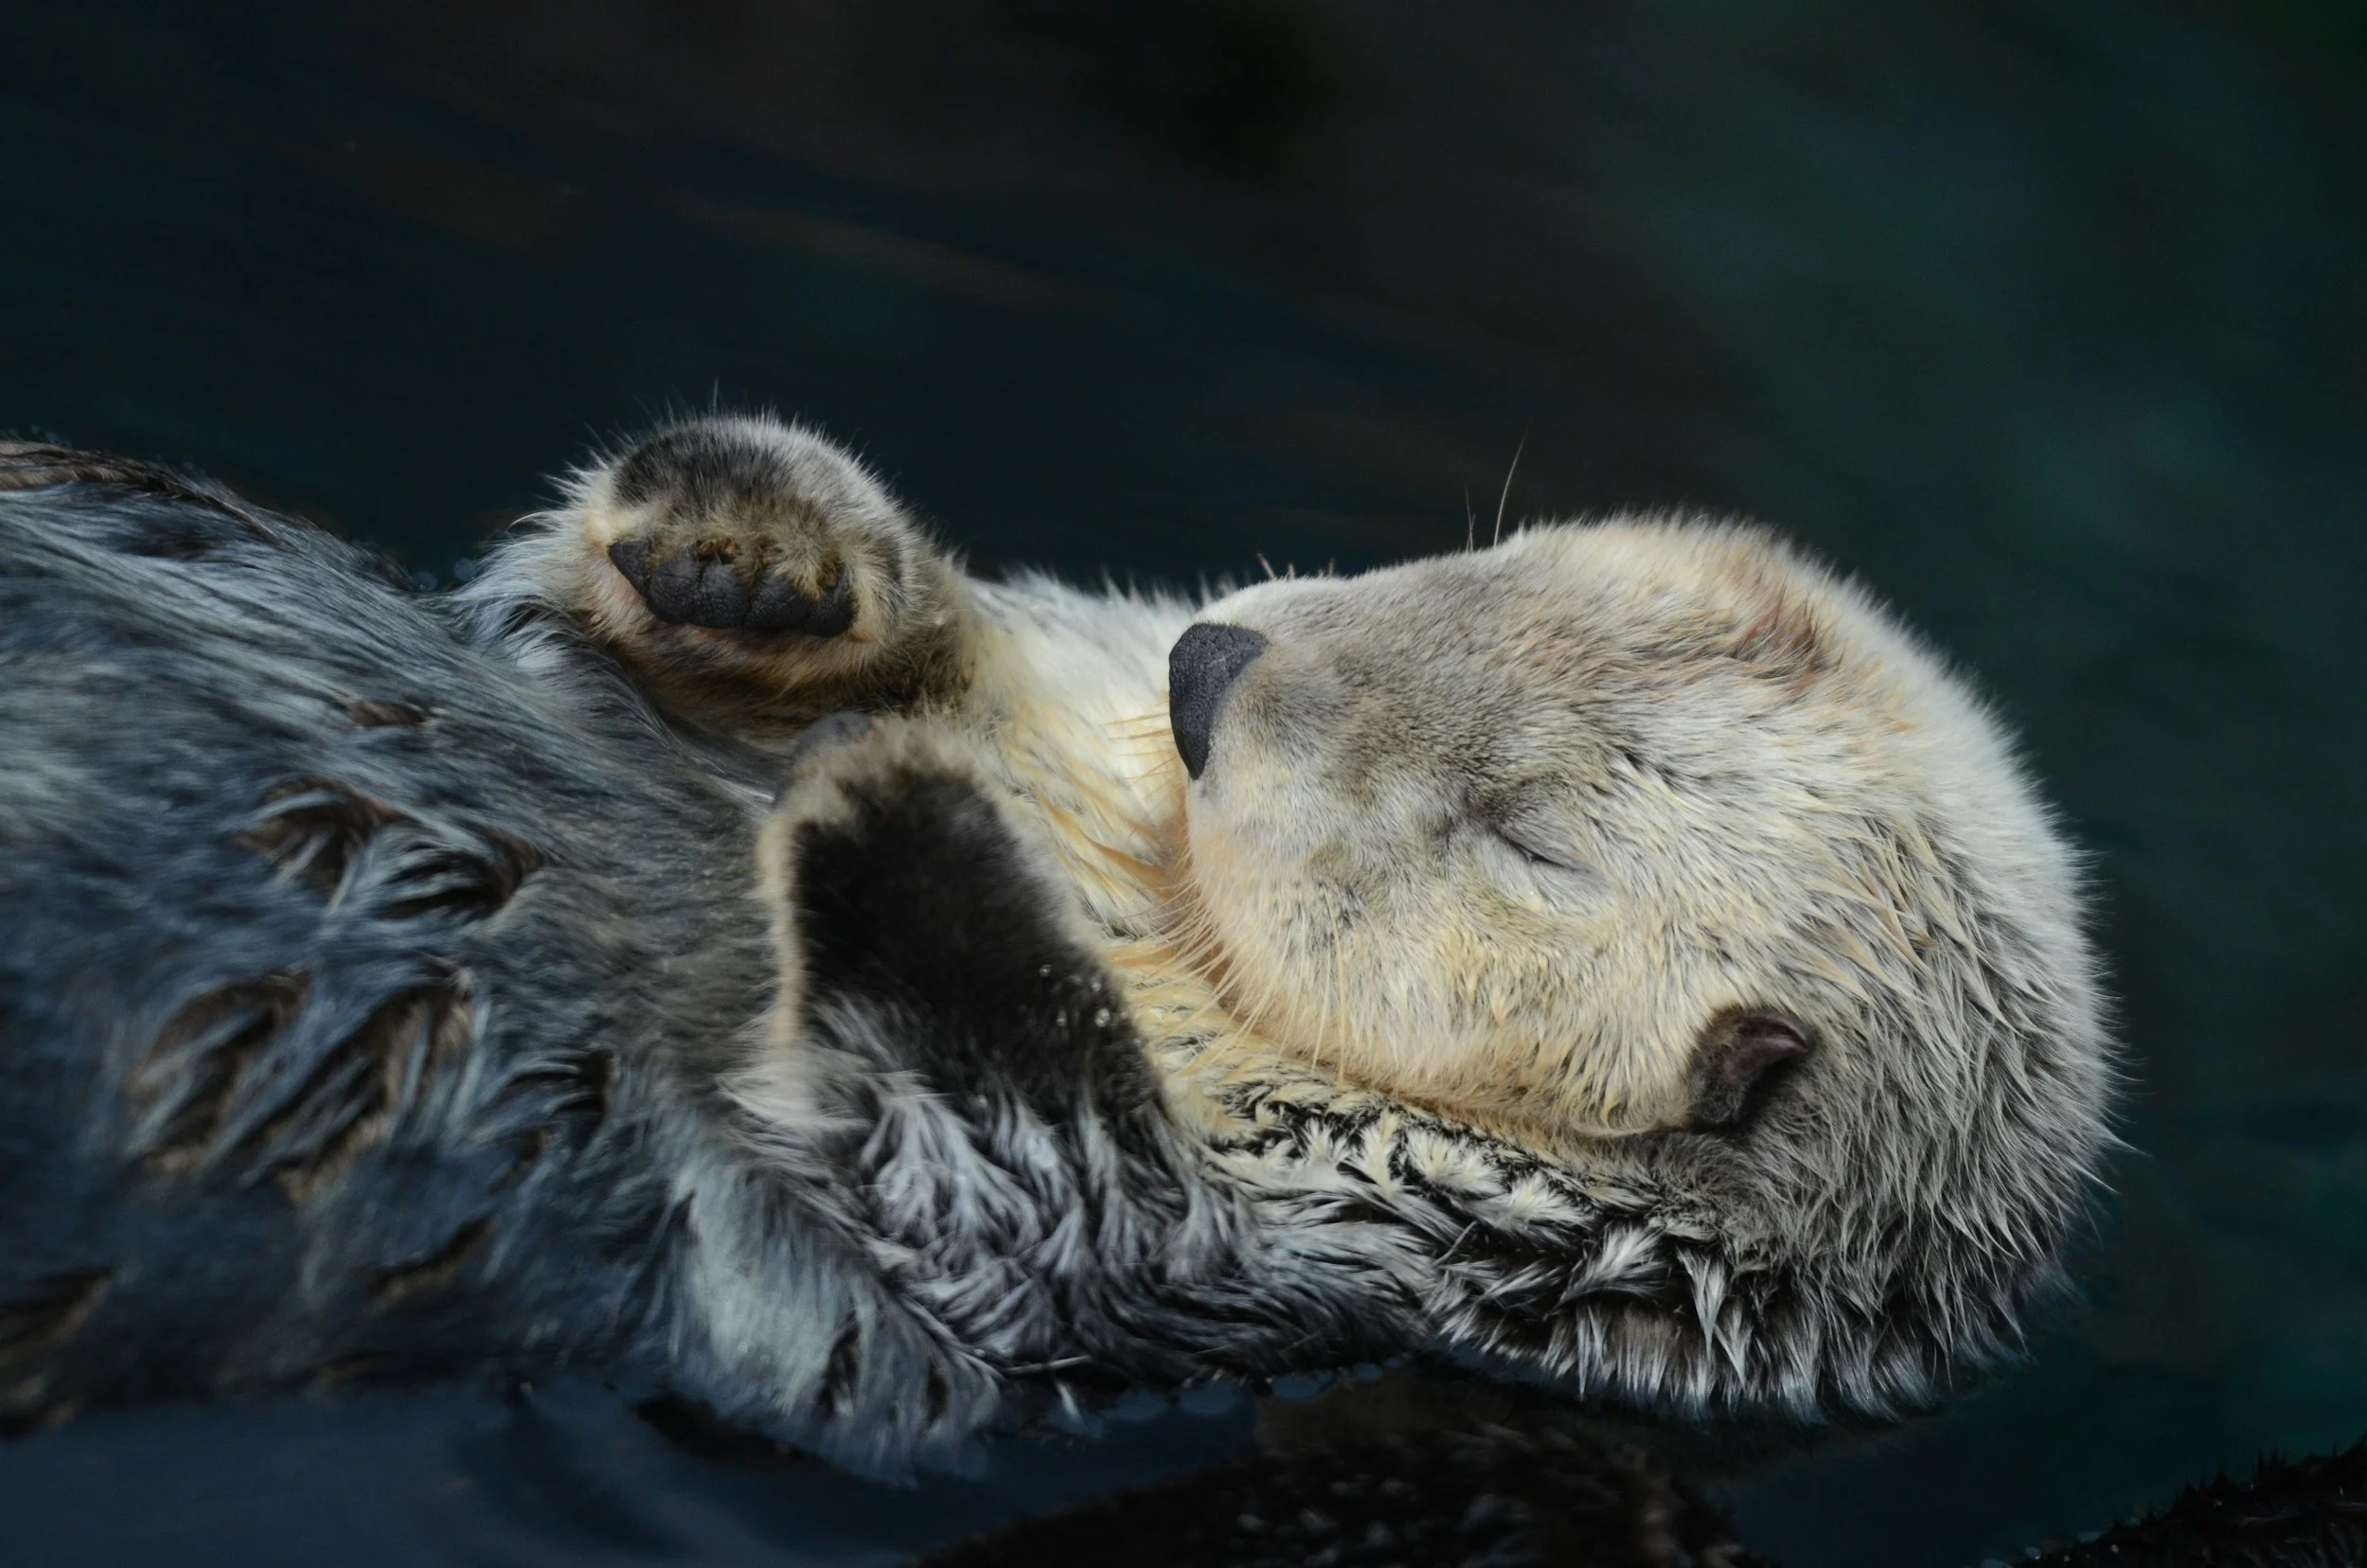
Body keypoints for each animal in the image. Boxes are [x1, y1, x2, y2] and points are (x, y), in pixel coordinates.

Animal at [0, 422, 2111, 1471]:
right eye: (1486, 563)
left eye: (1533, 838)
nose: (1212, 666)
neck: (1151, 901)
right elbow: (601, 612)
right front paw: (751, 537)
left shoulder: (1289, 1268)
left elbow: (995, 1193)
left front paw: (902, 822)